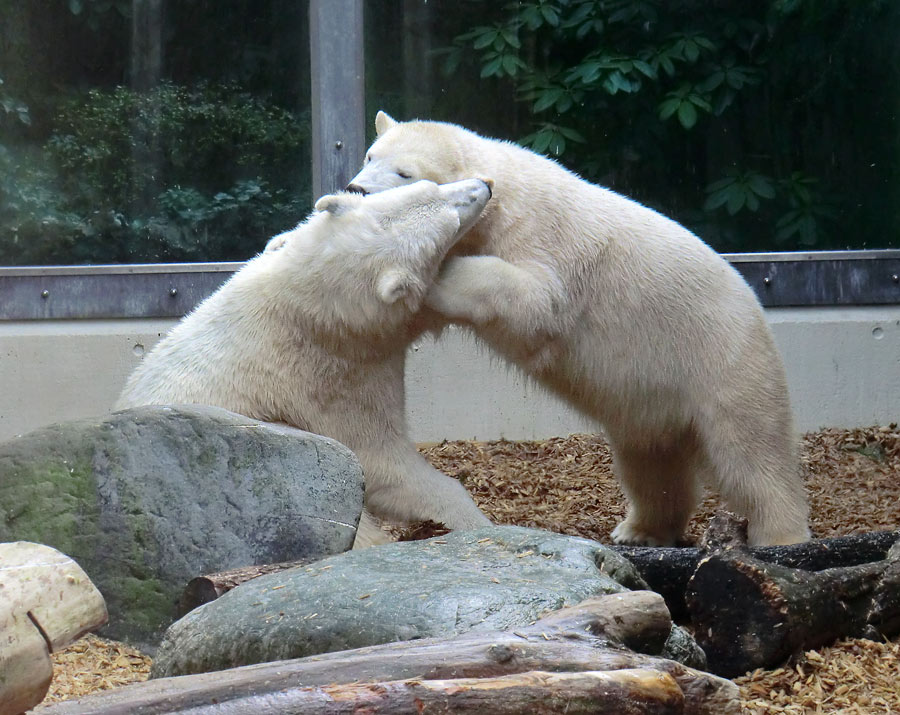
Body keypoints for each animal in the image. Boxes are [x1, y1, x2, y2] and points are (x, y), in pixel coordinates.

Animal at [117, 180, 496, 548]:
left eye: (430, 185)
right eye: (453, 219)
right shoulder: (334, 375)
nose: (485, 184)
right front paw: (473, 519)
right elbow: (382, 463)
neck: (306, 304)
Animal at [348, 112, 812, 548]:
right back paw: (640, 529)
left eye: (404, 172)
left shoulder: (541, 237)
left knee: (751, 452)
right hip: (654, 398)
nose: (356, 188)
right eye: (370, 156)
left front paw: (440, 275)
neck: (504, 198)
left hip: (721, 357)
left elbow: (537, 301)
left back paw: (780, 534)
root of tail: (753, 305)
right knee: (649, 461)